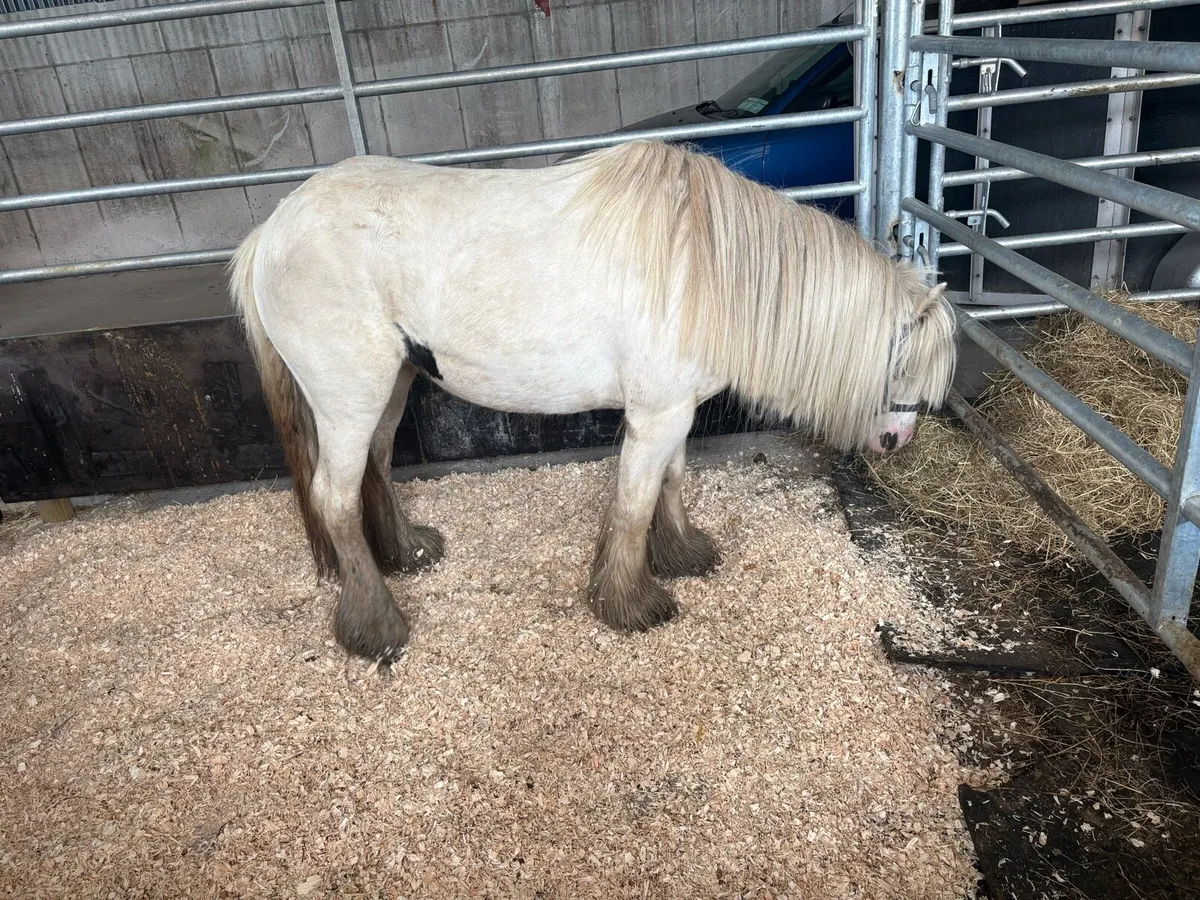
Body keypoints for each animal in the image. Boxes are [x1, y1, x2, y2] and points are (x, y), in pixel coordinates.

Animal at [229, 139, 957, 664]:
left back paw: (406, 554)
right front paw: (631, 604)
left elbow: (670, 482)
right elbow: (633, 504)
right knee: (334, 499)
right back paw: (377, 626)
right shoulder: (658, 414)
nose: (898, 440)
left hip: (393, 386)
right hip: (350, 397)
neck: (704, 269)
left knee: (376, 469)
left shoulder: (673, 411)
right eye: (903, 361)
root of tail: (270, 233)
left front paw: (683, 555)